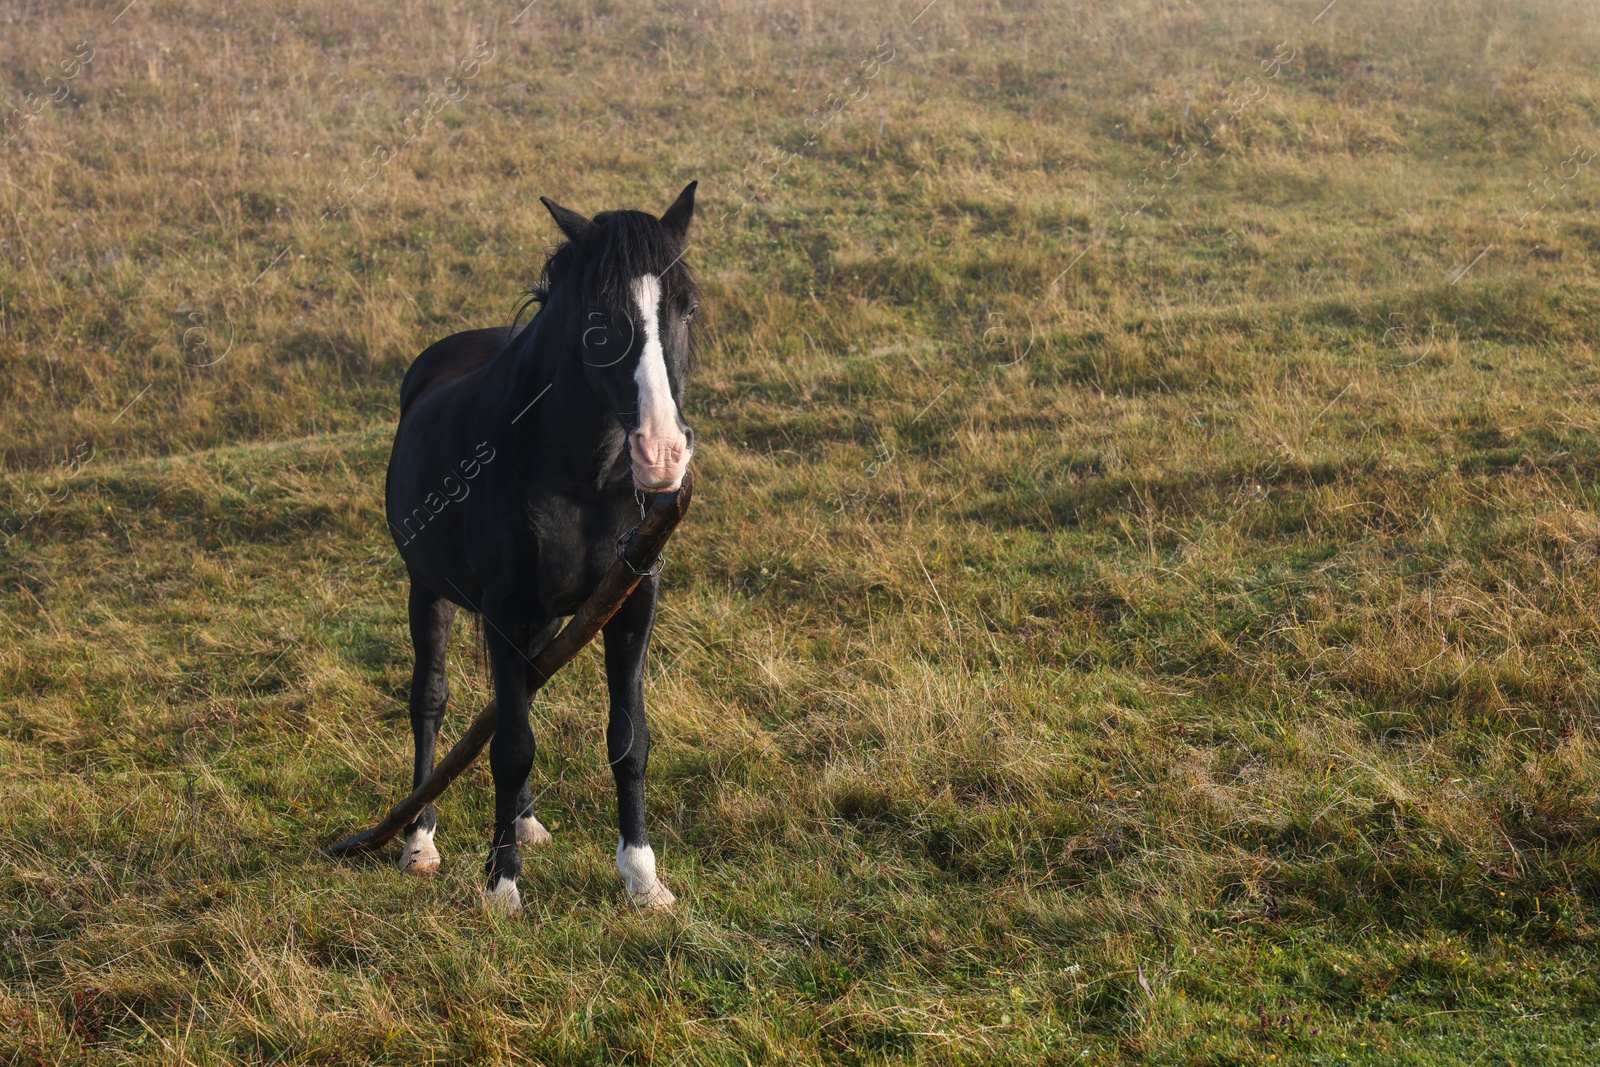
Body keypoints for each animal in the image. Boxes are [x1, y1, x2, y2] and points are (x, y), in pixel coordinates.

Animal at [384, 181, 697, 908]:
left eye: (686, 307)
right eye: (598, 317)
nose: (662, 454)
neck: (581, 477)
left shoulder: (630, 604)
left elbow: (627, 738)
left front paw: (643, 877)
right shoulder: (504, 611)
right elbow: (510, 744)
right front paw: (501, 884)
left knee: (521, 691)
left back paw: (523, 822)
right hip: (429, 592)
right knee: (432, 700)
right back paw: (419, 837)